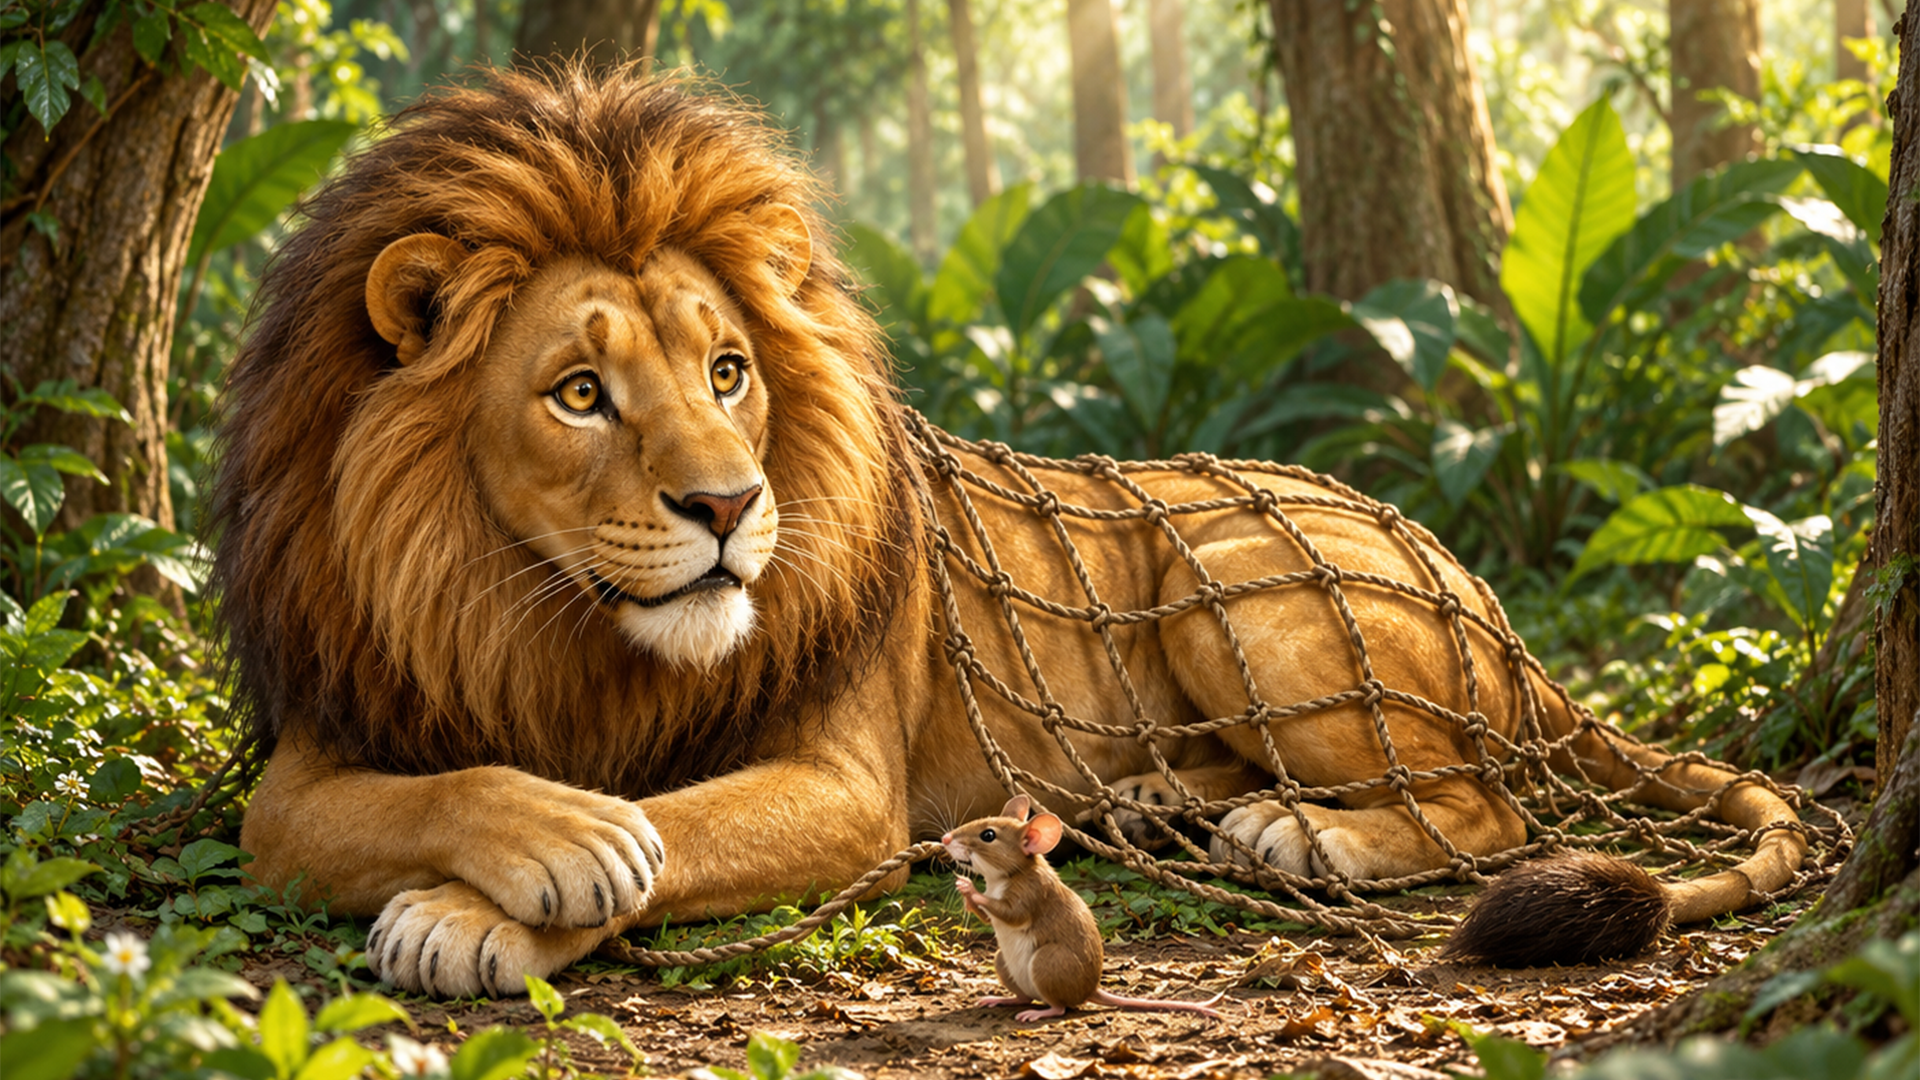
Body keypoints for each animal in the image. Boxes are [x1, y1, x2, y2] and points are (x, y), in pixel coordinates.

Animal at [214, 65, 1807, 999]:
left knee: (1492, 809)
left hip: (1234, 589)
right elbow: (401, 799)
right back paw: (1163, 805)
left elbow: (674, 835)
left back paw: (1298, 835)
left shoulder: (844, 792)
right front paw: (541, 837)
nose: (728, 507)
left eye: (728, 372)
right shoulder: (317, 754)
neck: (532, 610)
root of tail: (1495, 612)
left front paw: (489, 909)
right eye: (580, 393)